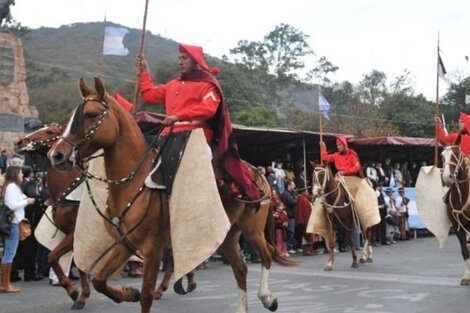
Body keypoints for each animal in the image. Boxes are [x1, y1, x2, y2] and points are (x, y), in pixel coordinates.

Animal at [15, 123, 91, 308]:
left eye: (50, 132)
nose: (20, 142)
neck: (68, 190)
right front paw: (81, 295)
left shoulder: (73, 234)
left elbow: (53, 256)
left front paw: (74, 292)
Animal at [46, 77, 298, 312]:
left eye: (91, 114)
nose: (56, 155)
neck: (135, 182)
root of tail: (258, 173)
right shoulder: (126, 242)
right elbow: (99, 280)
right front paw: (127, 293)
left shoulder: (152, 246)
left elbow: (146, 295)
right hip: (227, 234)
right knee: (240, 269)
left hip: (252, 229)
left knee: (266, 255)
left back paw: (267, 298)